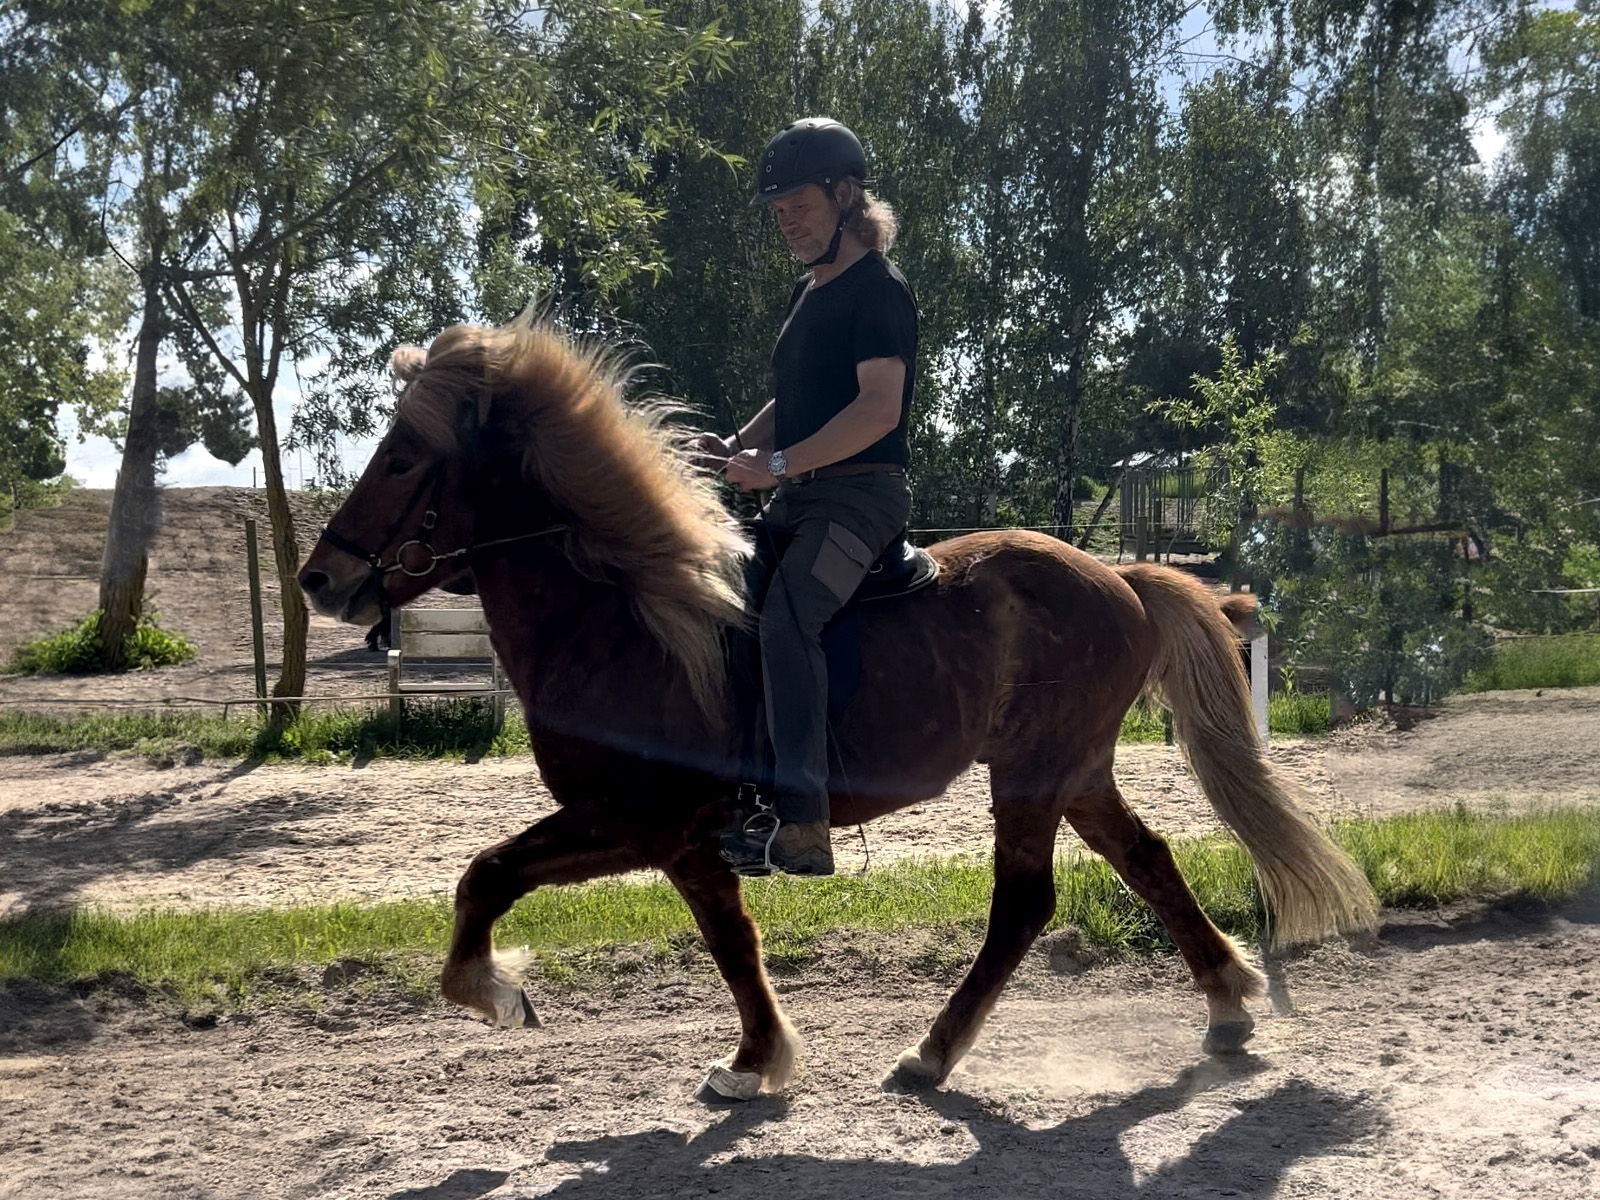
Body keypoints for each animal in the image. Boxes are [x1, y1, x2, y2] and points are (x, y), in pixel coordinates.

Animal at [297, 316, 1376, 1100]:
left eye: (403, 458)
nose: (319, 578)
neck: (623, 615)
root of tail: (1118, 578)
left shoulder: (637, 821)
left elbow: (496, 878)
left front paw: (497, 991)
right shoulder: (682, 839)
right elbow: (720, 937)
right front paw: (751, 1058)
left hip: (1034, 773)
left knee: (1024, 903)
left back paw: (933, 1053)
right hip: (1073, 771)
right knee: (1146, 861)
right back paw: (1226, 1006)